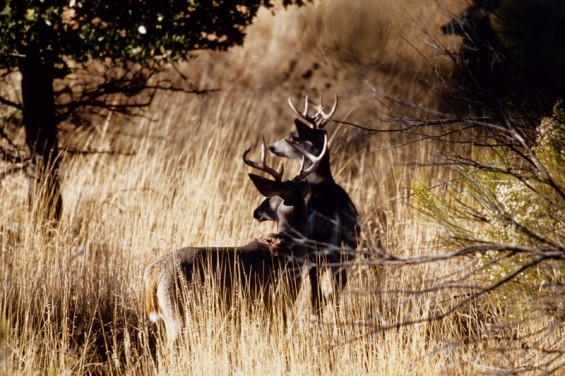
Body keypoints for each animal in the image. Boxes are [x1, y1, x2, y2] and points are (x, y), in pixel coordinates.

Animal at [143, 136, 326, 346]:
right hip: (179, 312)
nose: (256, 212)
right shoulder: (277, 302)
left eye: (271, 199)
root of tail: (152, 273)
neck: (289, 245)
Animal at [266, 95, 360, 316]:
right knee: (339, 284)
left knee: (321, 288)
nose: (272, 147)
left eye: (294, 136)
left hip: (319, 251)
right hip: (348, 249)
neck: (322, 184)